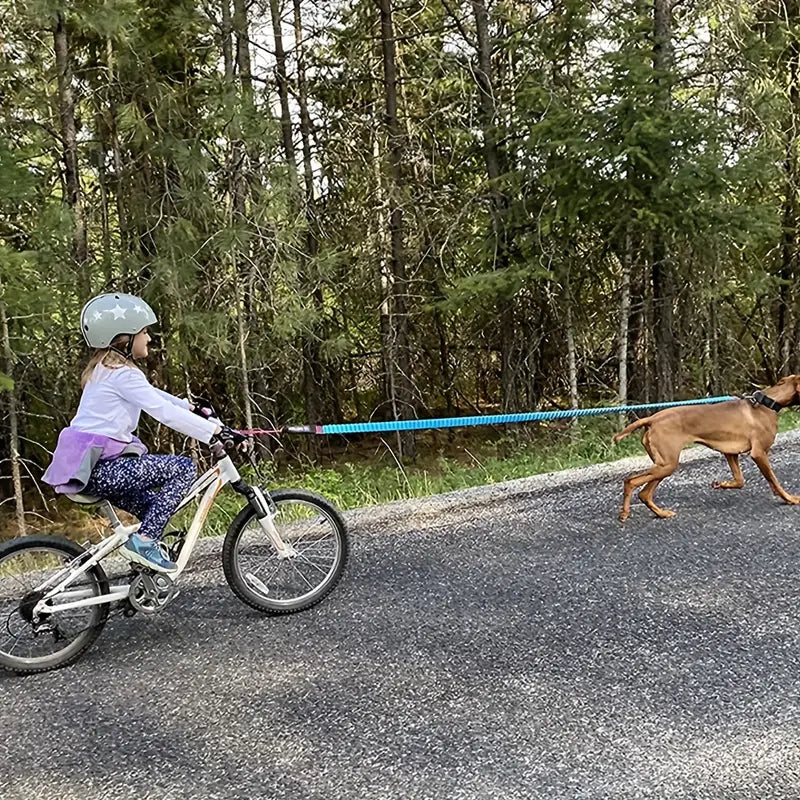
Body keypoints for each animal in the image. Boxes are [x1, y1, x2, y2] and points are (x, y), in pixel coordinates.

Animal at [612, 374, 800, 520]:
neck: (767, 403)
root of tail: (652, 419)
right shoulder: (759, 453)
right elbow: (775, 481)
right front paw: (790, 499)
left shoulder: (730, 453)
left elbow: (740, 481)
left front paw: (722, 484)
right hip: (666, 464)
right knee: (631, 481)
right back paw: (625, 513)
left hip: (663, 465)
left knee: (644, 493)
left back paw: (662, 513)